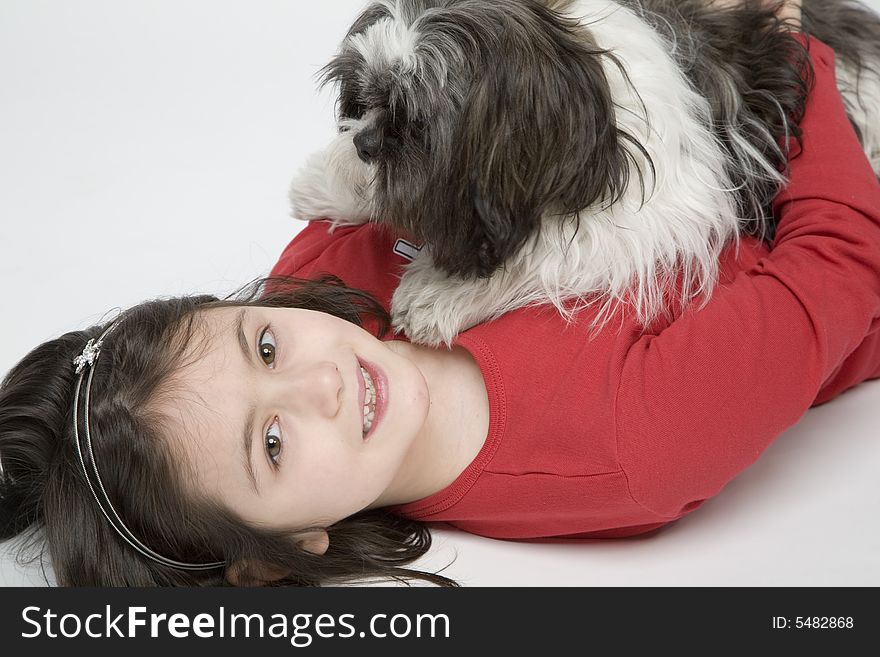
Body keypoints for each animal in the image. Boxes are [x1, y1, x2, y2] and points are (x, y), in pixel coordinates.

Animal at [290, 0, 880, 346]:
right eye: (365, 97)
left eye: (413, 122)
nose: (365, 142)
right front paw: (329, 179)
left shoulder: (663, 210)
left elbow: (547, 250)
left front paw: (442, 293)